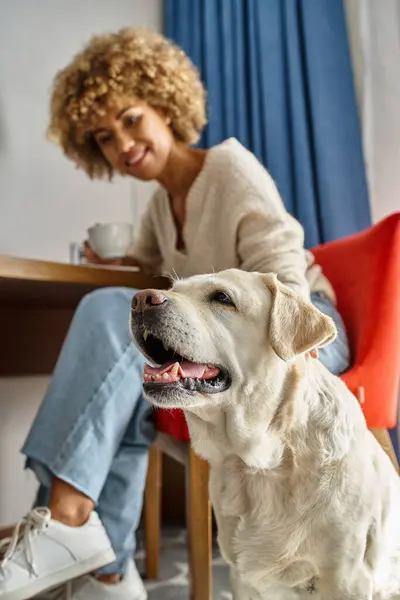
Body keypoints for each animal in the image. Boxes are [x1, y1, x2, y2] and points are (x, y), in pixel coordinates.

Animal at [131, 270, 400, 600]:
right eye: (174, 289)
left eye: (222, 297)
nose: (140, 299)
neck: (262, 464)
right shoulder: (242, 577)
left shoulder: (348, 579)